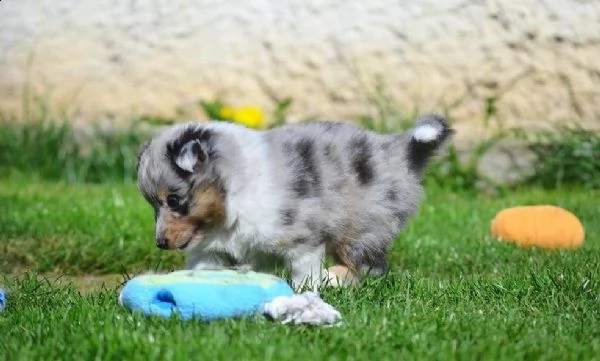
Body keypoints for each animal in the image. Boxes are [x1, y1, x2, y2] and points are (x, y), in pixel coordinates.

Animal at [136, 114, 452, 286]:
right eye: (152, 204)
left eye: (173, 200)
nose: (160, 243)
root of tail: (399, 150)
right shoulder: (210, 250)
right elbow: (203, 268)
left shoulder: (302, 237)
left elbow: (303, 272)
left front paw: (304, 292)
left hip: (360, 228)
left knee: (367, 265)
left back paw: (334, 279)